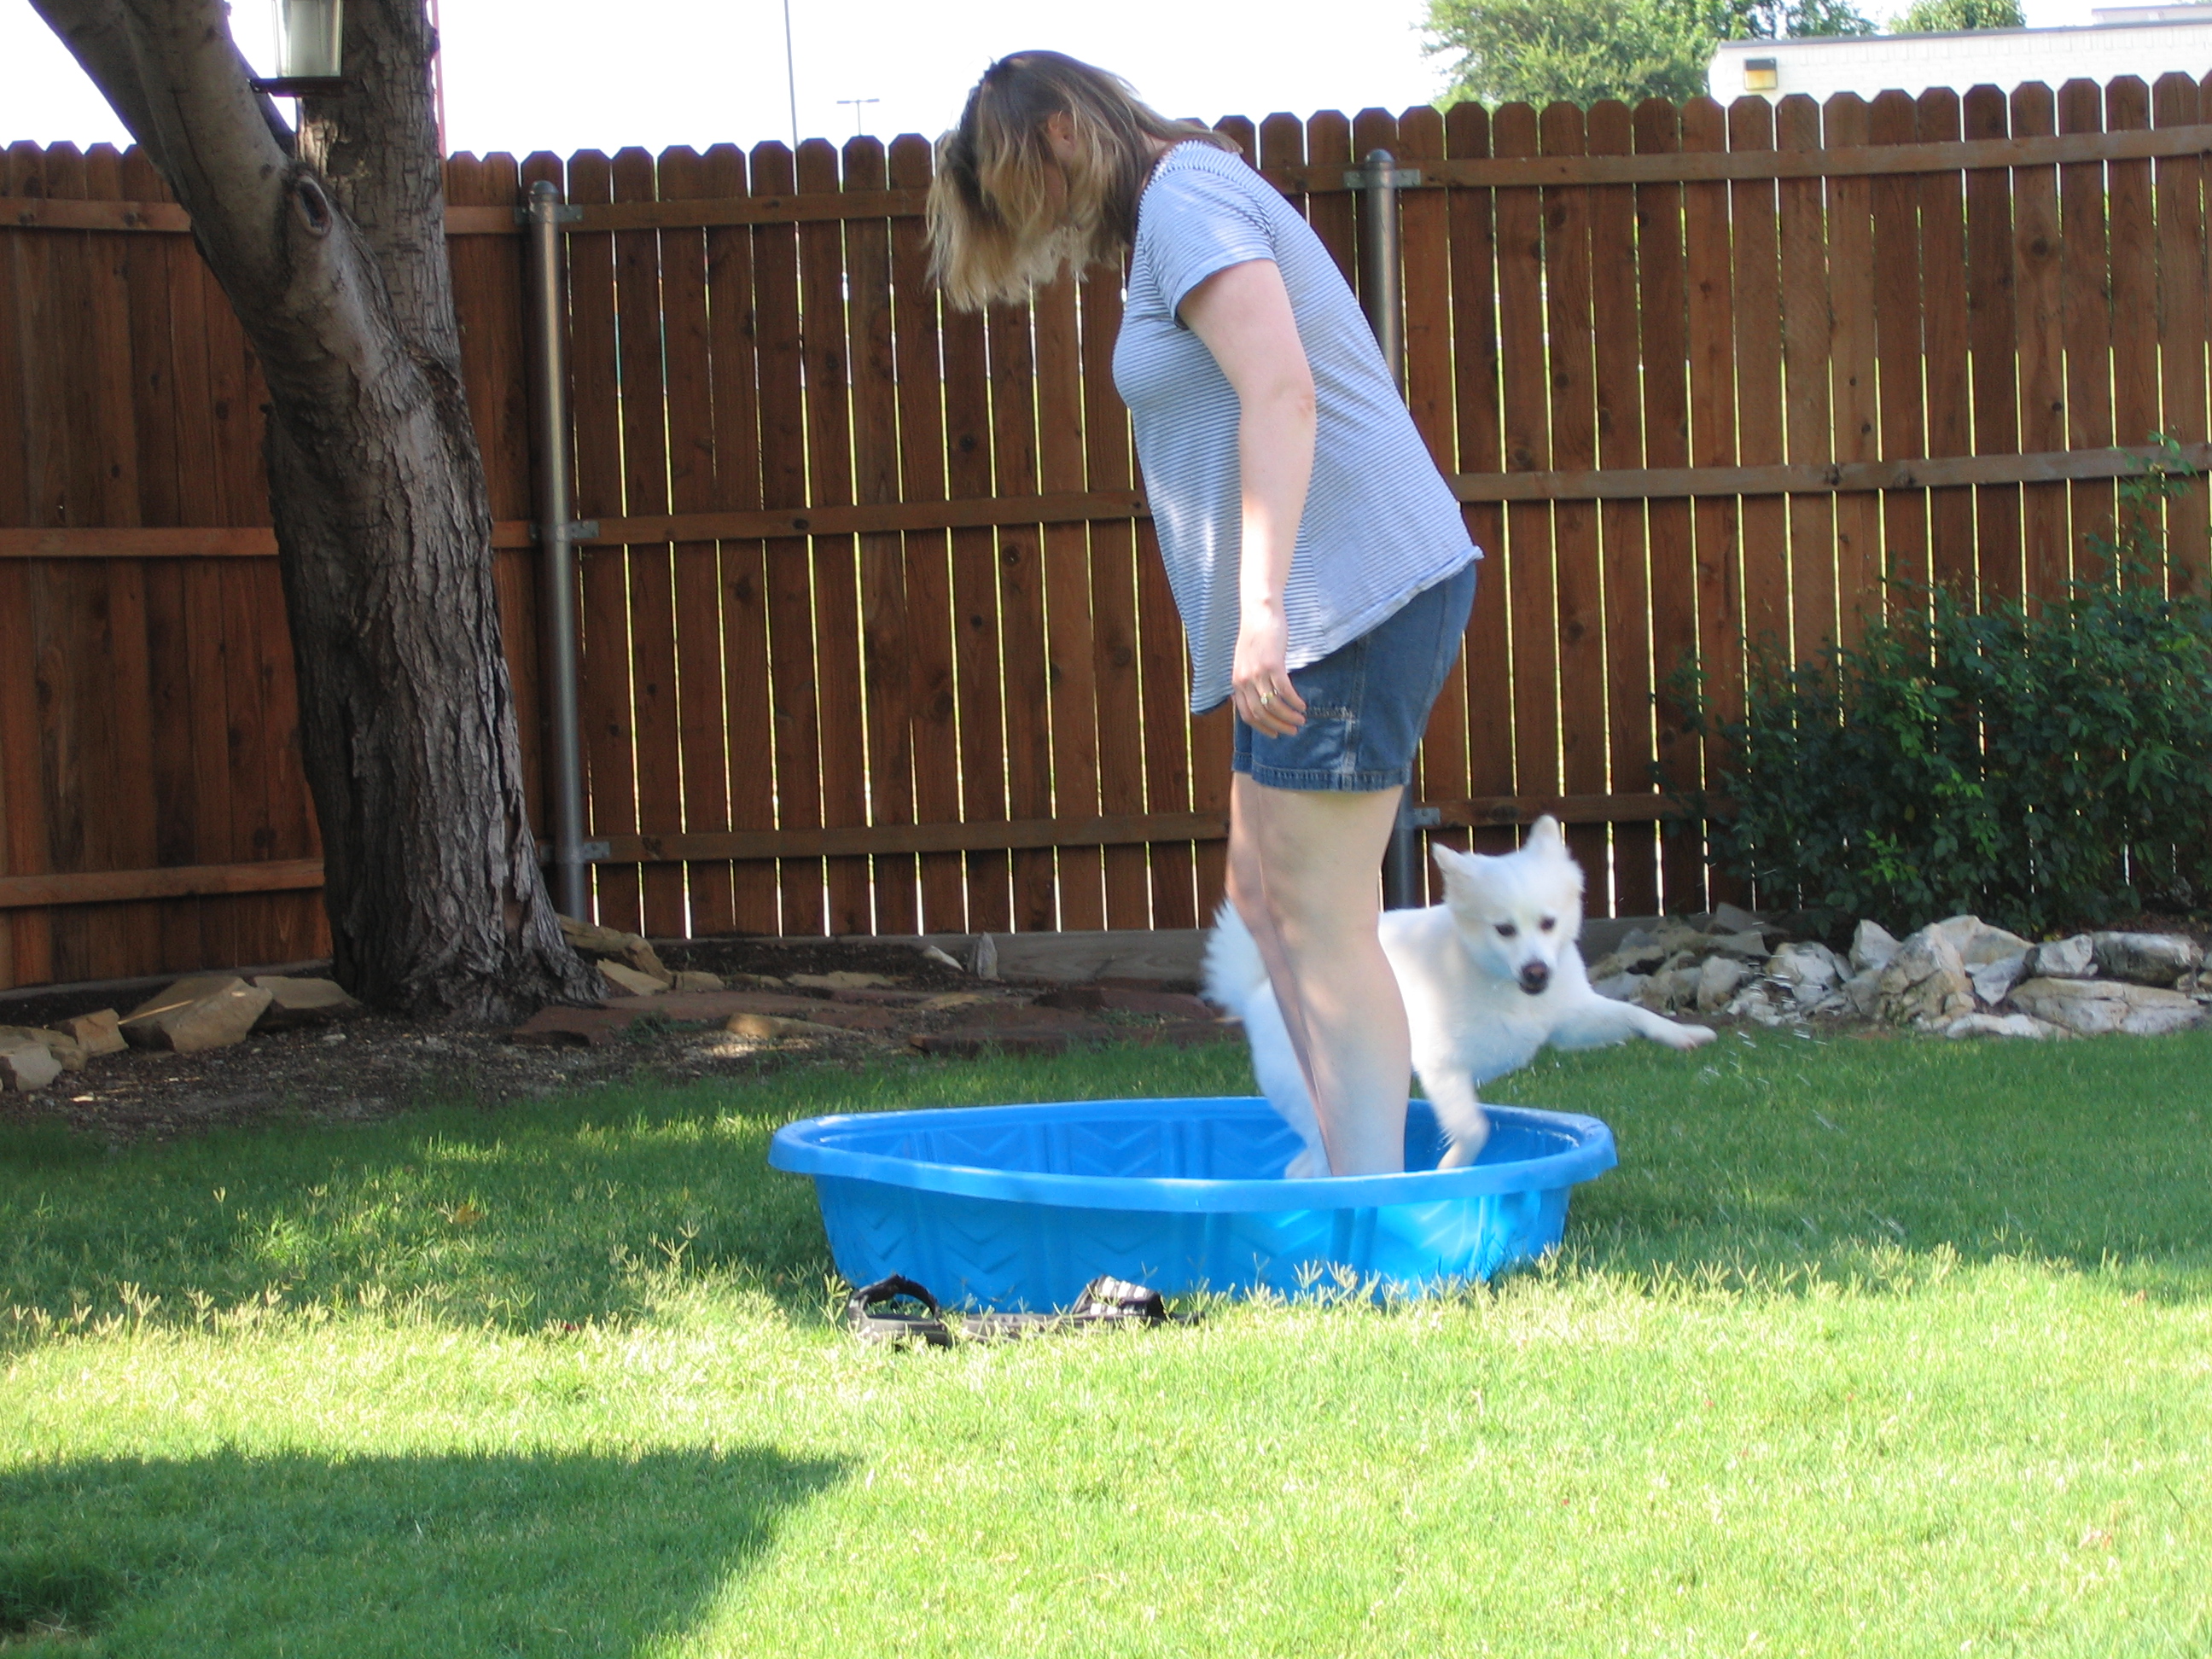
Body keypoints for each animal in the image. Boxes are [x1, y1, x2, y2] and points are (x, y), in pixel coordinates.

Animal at [1204, 815, 1716, 1177]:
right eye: (1504, 930)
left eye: (1548, 923)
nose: (1536, 970)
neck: (1497, 980)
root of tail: (1259, 991)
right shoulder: (1443, 1067)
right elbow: (1474, 1128)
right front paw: (1452, 1169)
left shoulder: (1571, 1023)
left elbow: (1634, 1014)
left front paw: (1682, 1034)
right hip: (1328, 1099)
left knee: (1301, 1166)